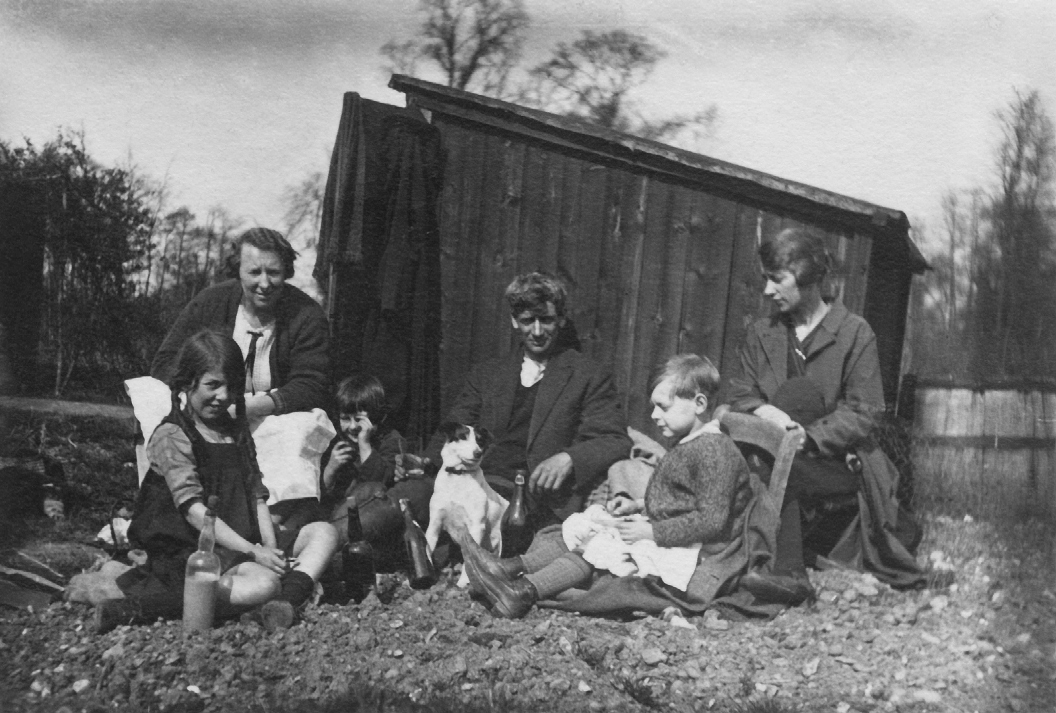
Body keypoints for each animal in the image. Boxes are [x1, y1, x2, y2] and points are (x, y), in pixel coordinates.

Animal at [428, 420, 511, 583]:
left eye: (480, 441)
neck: (458, 476)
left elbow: (470, 561)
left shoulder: (476, 526)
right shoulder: (434, 523)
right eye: (462, 437)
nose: (478, 453)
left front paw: (463, 583)